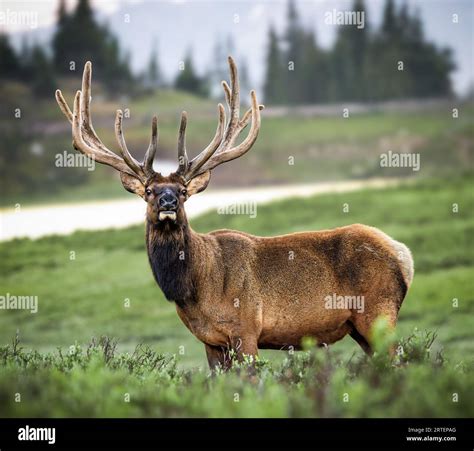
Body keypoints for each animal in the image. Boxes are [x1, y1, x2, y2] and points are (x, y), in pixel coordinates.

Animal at [54, 57, 412, 370]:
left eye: (183, 192)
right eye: (149, 191)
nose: (168, 202)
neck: (196, 288)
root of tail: (403, 255)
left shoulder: (247, 328)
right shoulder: (211, 341)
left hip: (378, 312)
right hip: (361, 327)